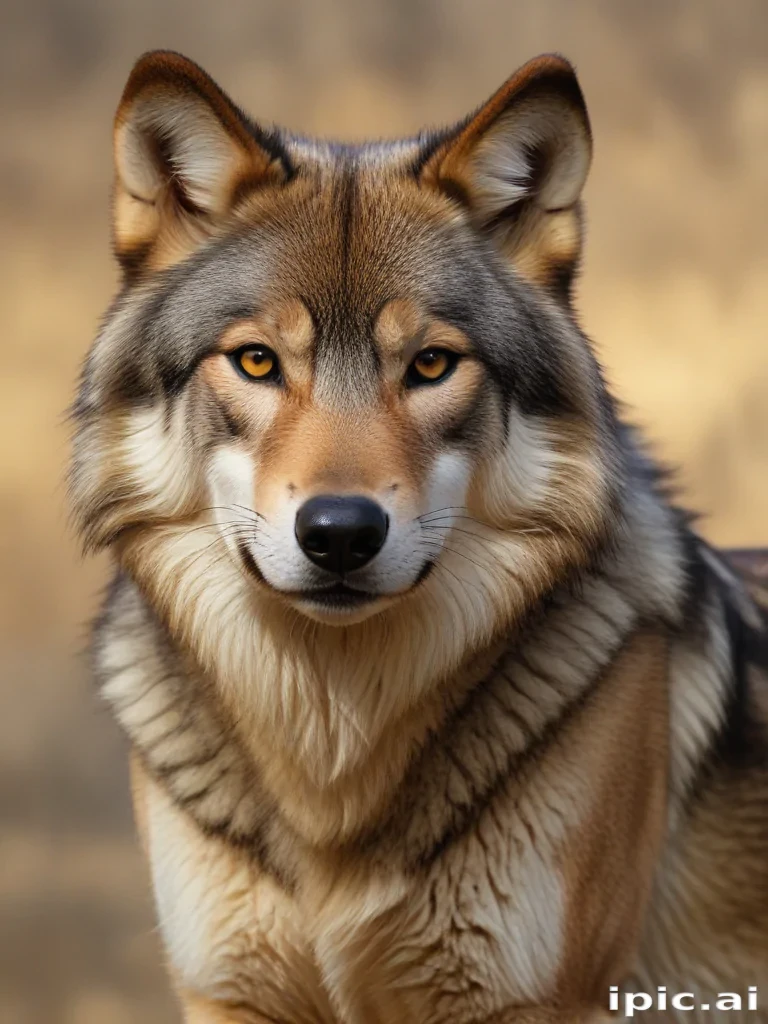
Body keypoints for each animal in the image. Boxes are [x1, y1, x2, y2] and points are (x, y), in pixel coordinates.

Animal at [70, 50, 768, 1022]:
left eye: (431, 364)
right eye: (257, 361)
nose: (339, 533)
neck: (332, 767)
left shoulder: (534, 999)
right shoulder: (226, 996)